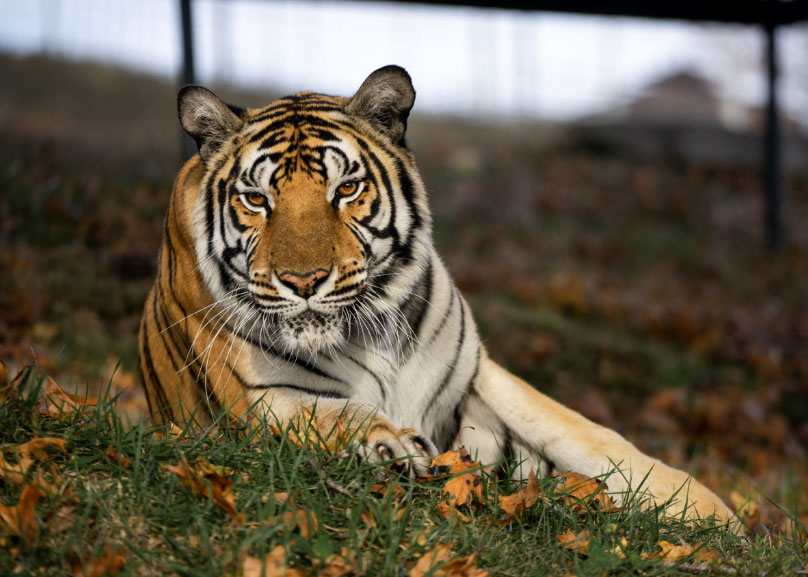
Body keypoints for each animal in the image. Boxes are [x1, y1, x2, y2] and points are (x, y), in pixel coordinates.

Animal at [137, 65, 732, 524]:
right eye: (257, 199)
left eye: (346, 189)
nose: (304, 281)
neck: (368, 336)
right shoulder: (260, 397)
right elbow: (337, 415)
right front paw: (392, 446)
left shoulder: (479, 373)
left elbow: (587, 434)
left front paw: (714, 513)